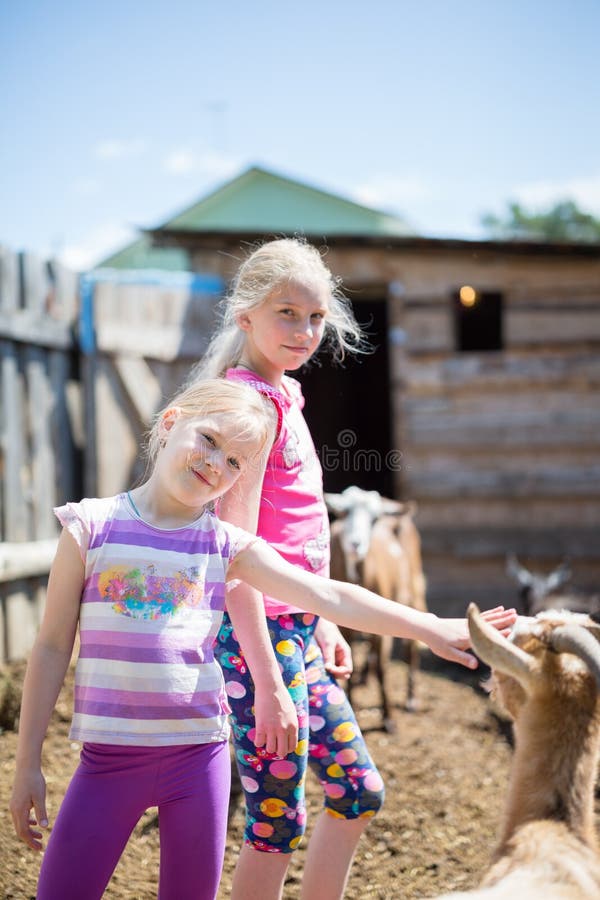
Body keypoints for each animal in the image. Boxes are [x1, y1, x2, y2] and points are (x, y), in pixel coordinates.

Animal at [326, 486, 427, 729]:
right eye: (343, 512)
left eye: (374, 519)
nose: (356, 544)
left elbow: (383, 666)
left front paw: (389, 718)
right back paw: (364, 677)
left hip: (414, 585)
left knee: (410, 645)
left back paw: (411, 699)